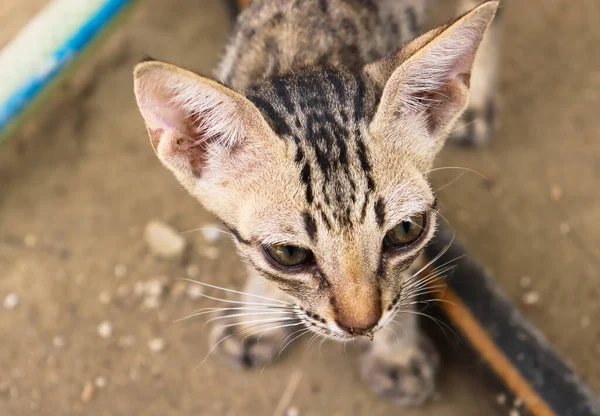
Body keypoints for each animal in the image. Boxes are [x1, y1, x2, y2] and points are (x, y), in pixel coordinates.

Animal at [134, 0, 500, 404]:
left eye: (405, 230)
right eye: (289, 253)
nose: (362, 326)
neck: (310, 47)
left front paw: (397, 353)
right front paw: (255, 322)